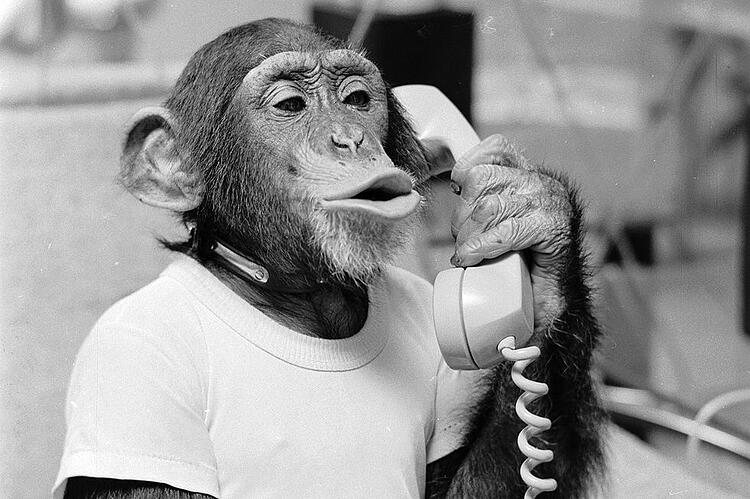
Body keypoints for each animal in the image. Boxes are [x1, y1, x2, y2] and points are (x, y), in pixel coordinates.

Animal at [55, 18, 605, 499]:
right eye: (291, 104)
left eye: (357, 99)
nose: (350, 138)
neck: (302, 300)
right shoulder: (131, 367)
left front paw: (526, 211)